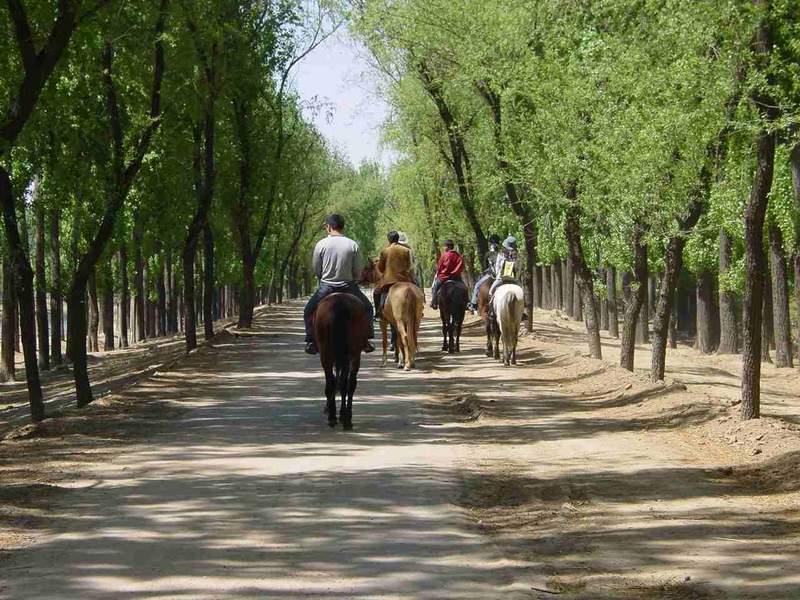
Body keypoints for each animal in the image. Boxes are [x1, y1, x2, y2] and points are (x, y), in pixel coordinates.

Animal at [312, 292, 368, 428]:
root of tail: (339, 302)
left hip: (327, 354)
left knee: (334, 382)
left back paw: (335, 416)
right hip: (352, 353)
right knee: (348, 383)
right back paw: (345, 417)